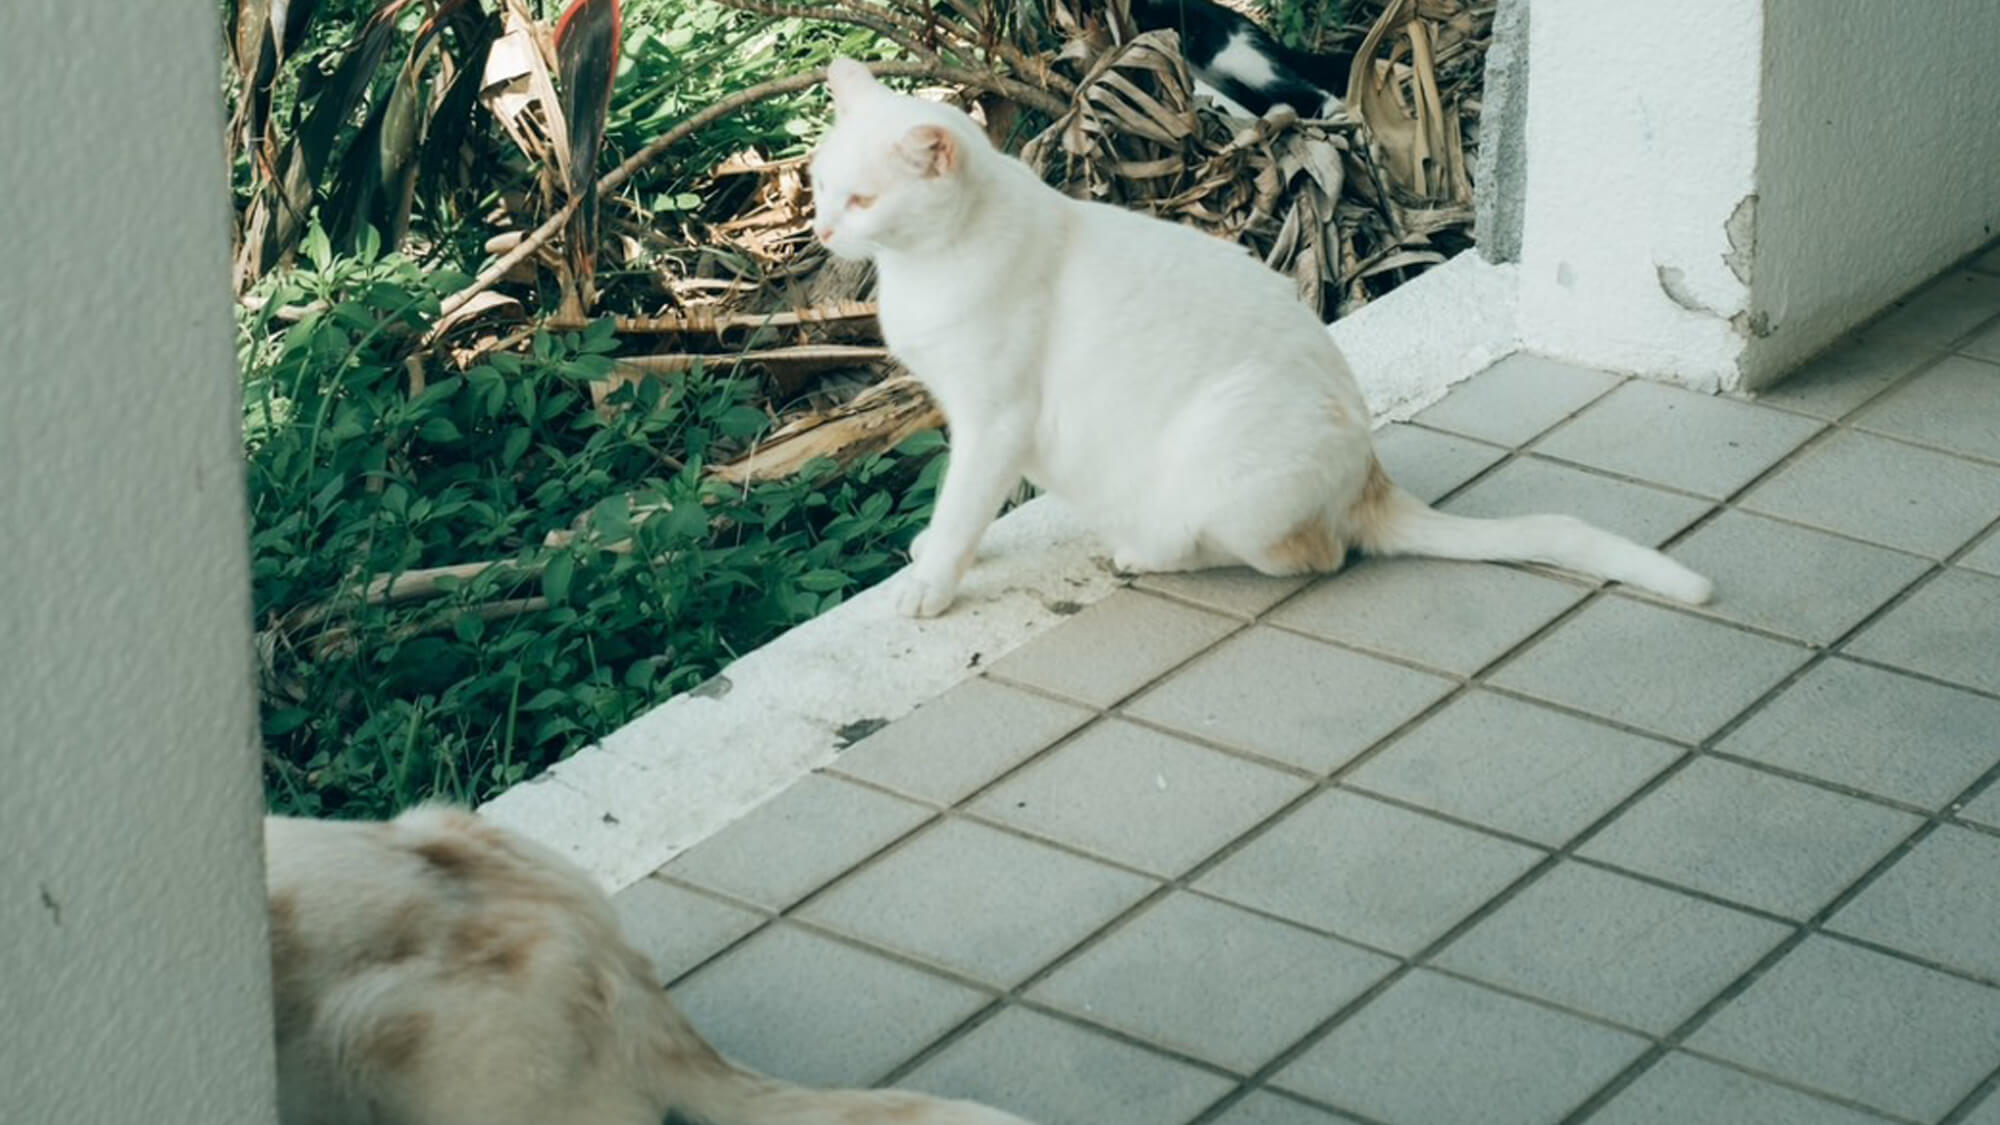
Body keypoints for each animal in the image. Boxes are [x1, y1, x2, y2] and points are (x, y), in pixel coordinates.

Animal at [804, 58, 1712, 612]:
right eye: (818, 183)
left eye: (863, 200)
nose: (819, 229)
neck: (922, 269)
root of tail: (1369, 476)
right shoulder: (969, 420)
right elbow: (962, 505)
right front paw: (934, 551)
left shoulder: (994, 422)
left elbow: (965, 503)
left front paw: (933, 579)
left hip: (1223, 457)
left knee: (1312, 555)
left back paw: (1148, 549)